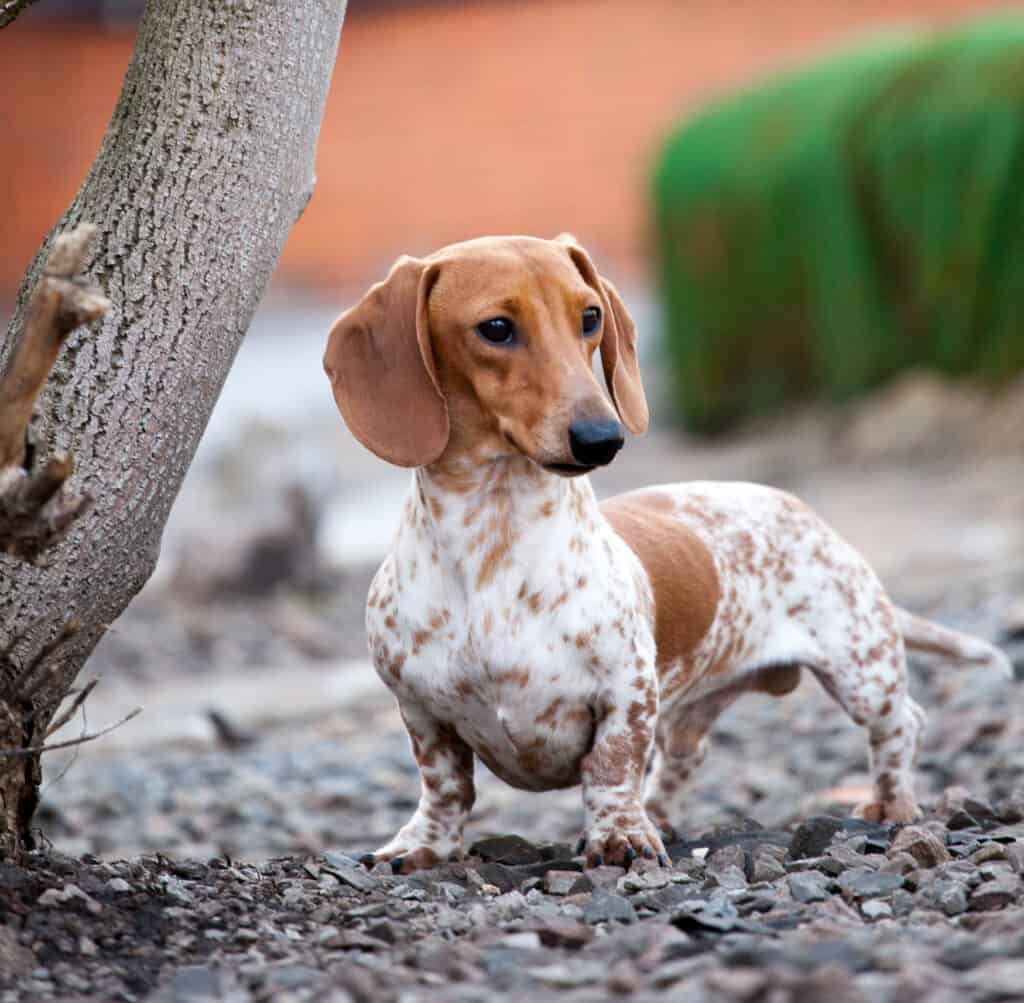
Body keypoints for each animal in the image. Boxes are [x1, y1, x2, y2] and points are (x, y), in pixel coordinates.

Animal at [323, 233, 1011, 868]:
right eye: (496, 328)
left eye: (589, 316)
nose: (603, 437)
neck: (491, 546)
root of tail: (801, 510)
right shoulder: (419, 709)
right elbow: (443, 785)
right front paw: (424, 844)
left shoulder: (625, 692)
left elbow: (611, 767)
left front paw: (620, 837)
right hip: (698, 712)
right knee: (687, 754)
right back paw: (663, 814)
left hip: (861, 666)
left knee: (903, 722)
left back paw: (892, 804)